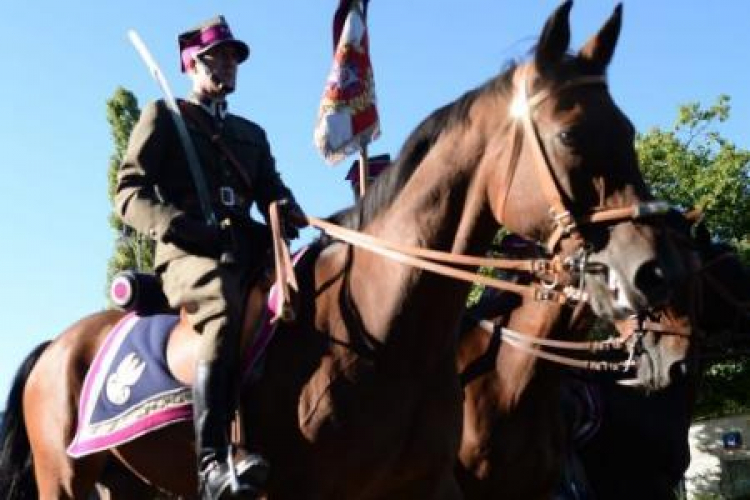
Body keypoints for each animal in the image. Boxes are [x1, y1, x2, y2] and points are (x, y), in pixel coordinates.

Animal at [0, 1, 680, 498]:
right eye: (568, 135)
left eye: (628, 131)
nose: (652, 270)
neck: (388, 331)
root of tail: (58, 344)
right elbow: (133, 185)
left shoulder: (428, 486)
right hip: (63, 481)